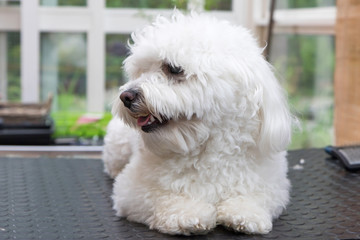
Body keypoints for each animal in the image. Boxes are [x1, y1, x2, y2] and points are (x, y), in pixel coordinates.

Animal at [102, 11, 292, 236]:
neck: (207, 150)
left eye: (174, 69)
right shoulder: (130, 189)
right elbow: (161, 195)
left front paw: (244, 212)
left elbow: (258, 195)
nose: (126, 96)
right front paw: (187, 213)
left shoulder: (273, 186)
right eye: (141, 71)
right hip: (117, 147)